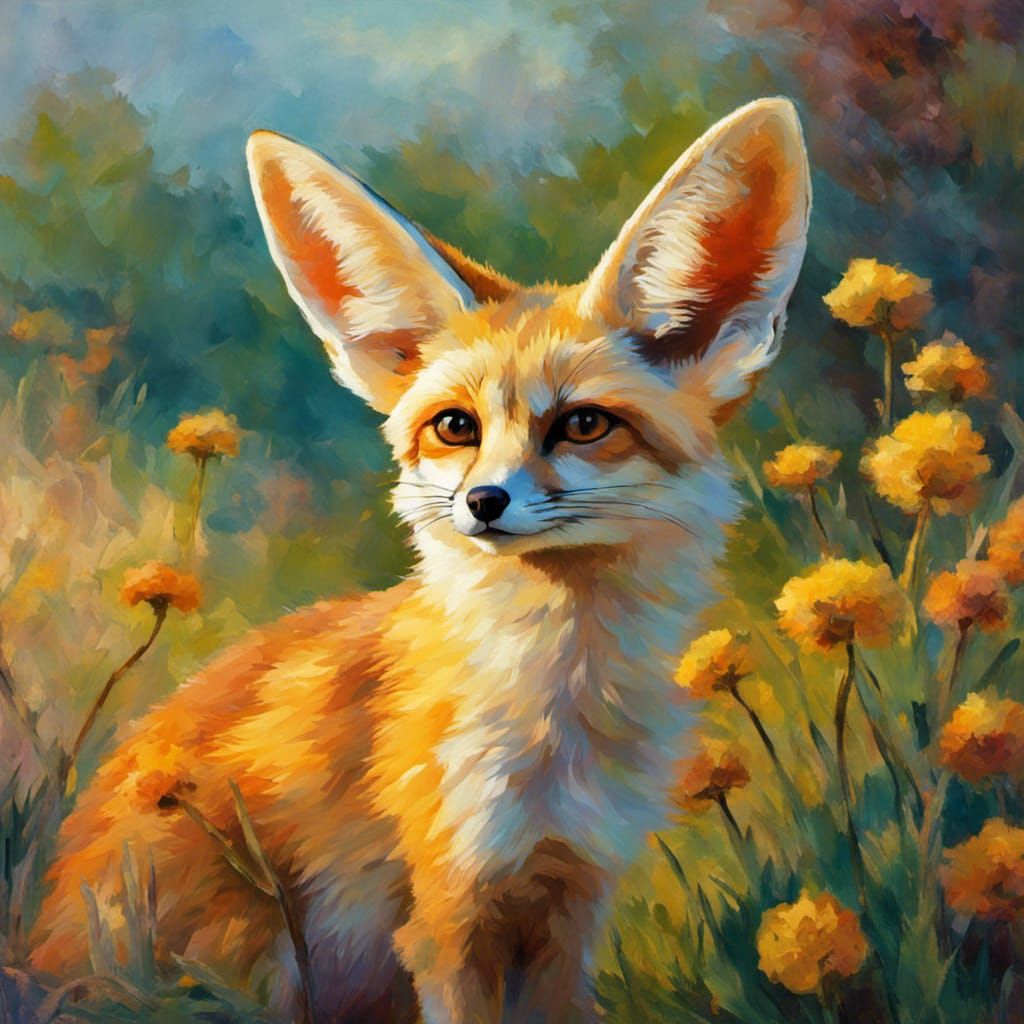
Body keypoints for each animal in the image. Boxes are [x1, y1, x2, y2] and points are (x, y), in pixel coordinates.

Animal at [29, 98, 810, 1022]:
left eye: (583, 425)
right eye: (454, 427)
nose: (484, 502)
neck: (554, 715)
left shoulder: (571, 899)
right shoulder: (446, 913)